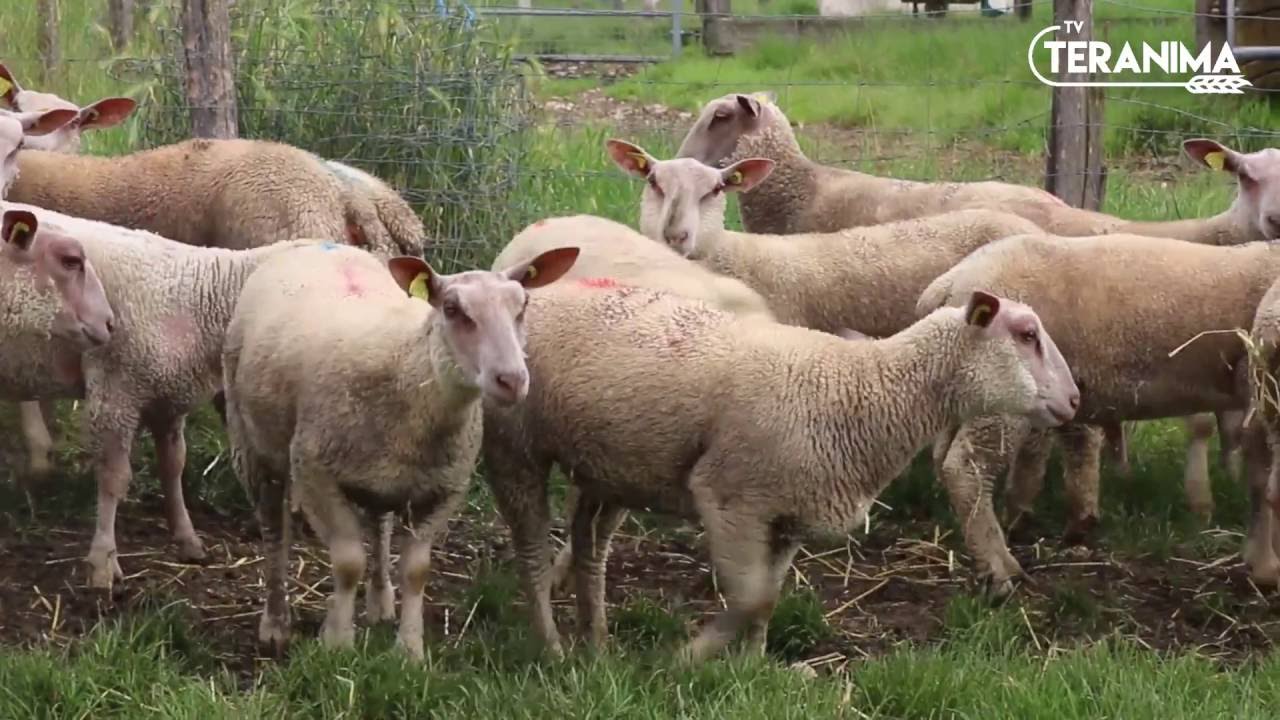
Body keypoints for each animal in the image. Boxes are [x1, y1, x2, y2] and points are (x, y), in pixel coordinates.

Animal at [1, 199, 327, 593]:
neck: (200, 296)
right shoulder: (115, 392)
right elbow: (113, 478)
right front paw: (103, 562)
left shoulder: (168, 397)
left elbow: (174, 466)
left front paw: (186, 538)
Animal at [222, 242, 580, 658]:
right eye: (452, 309)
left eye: (522, 306)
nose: (512, 380)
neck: (406, 366)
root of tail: (311, 243)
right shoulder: (314, 473)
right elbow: (348, 563)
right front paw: (338, 643)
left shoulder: (445, 489)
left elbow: (416, 570)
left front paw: (409, 650)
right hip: (250, 443)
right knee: (273, 530)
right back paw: (276, 623)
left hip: (382, 475)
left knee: (380, 526)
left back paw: (380, 602)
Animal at [483, 282, 1078, 662]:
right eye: (1027, 335)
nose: (1074, 400)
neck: (865, 389)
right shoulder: (729, 497)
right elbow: (747, 598)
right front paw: (687, 658)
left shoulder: (789, 515)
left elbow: (765, 600)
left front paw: (751, 668)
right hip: (515, 448)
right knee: (532, 552)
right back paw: (554, 648)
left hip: (609, 467)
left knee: (590, 546)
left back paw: (598, 642)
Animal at [916, 232, 1280, 593]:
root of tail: (949, 283)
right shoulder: (1260, 392)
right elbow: (1262, 481)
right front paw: (1266, 567)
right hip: (1004, 394)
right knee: (966, 468)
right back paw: (998, 569)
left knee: (943, 458)